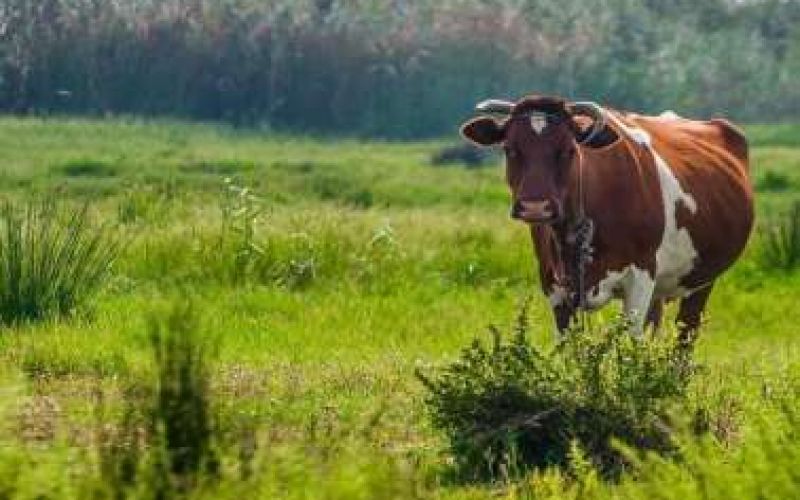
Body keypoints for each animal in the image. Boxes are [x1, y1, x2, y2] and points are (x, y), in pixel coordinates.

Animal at [460, 94, 752, 346]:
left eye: (568, 150)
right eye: (510, 149)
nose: (535, 207)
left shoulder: (641, 276)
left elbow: (631, 346)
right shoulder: (554, 284)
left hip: (701, 281)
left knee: (684, 341)